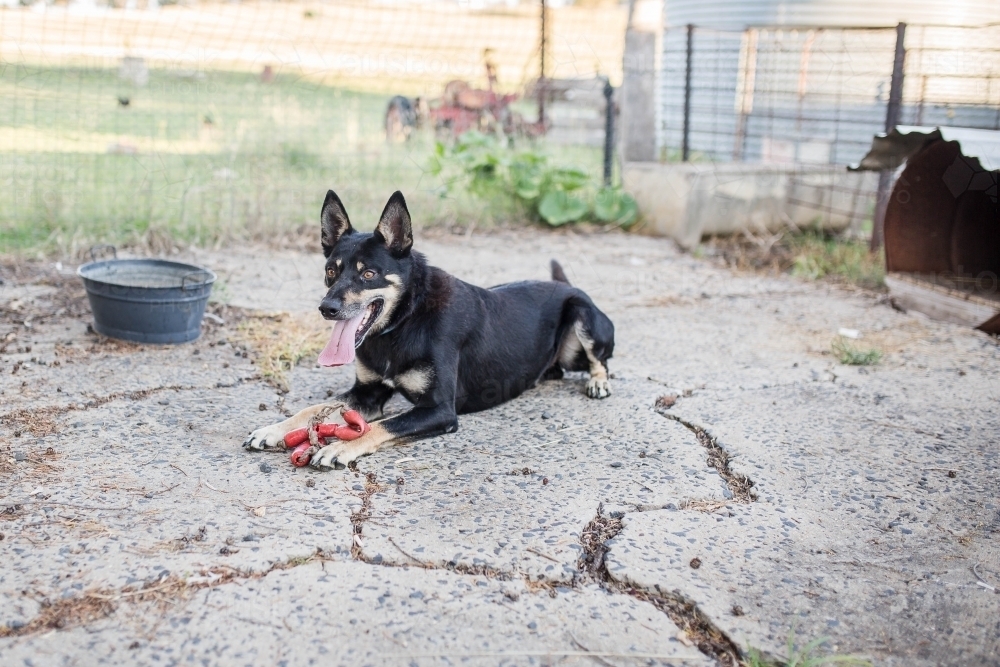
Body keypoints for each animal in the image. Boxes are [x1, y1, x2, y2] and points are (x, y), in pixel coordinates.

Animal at [246, 188, 612, 470]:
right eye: (331, 271)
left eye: (368, 274)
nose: (327, 309)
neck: (404, 322)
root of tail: (566, 286)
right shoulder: (366, 393)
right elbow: (314, 409)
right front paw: (275, 428)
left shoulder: (439, 410)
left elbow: (379, 426)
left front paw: (339, 446)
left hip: (582, 315)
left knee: (600, 361)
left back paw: (598, 382)